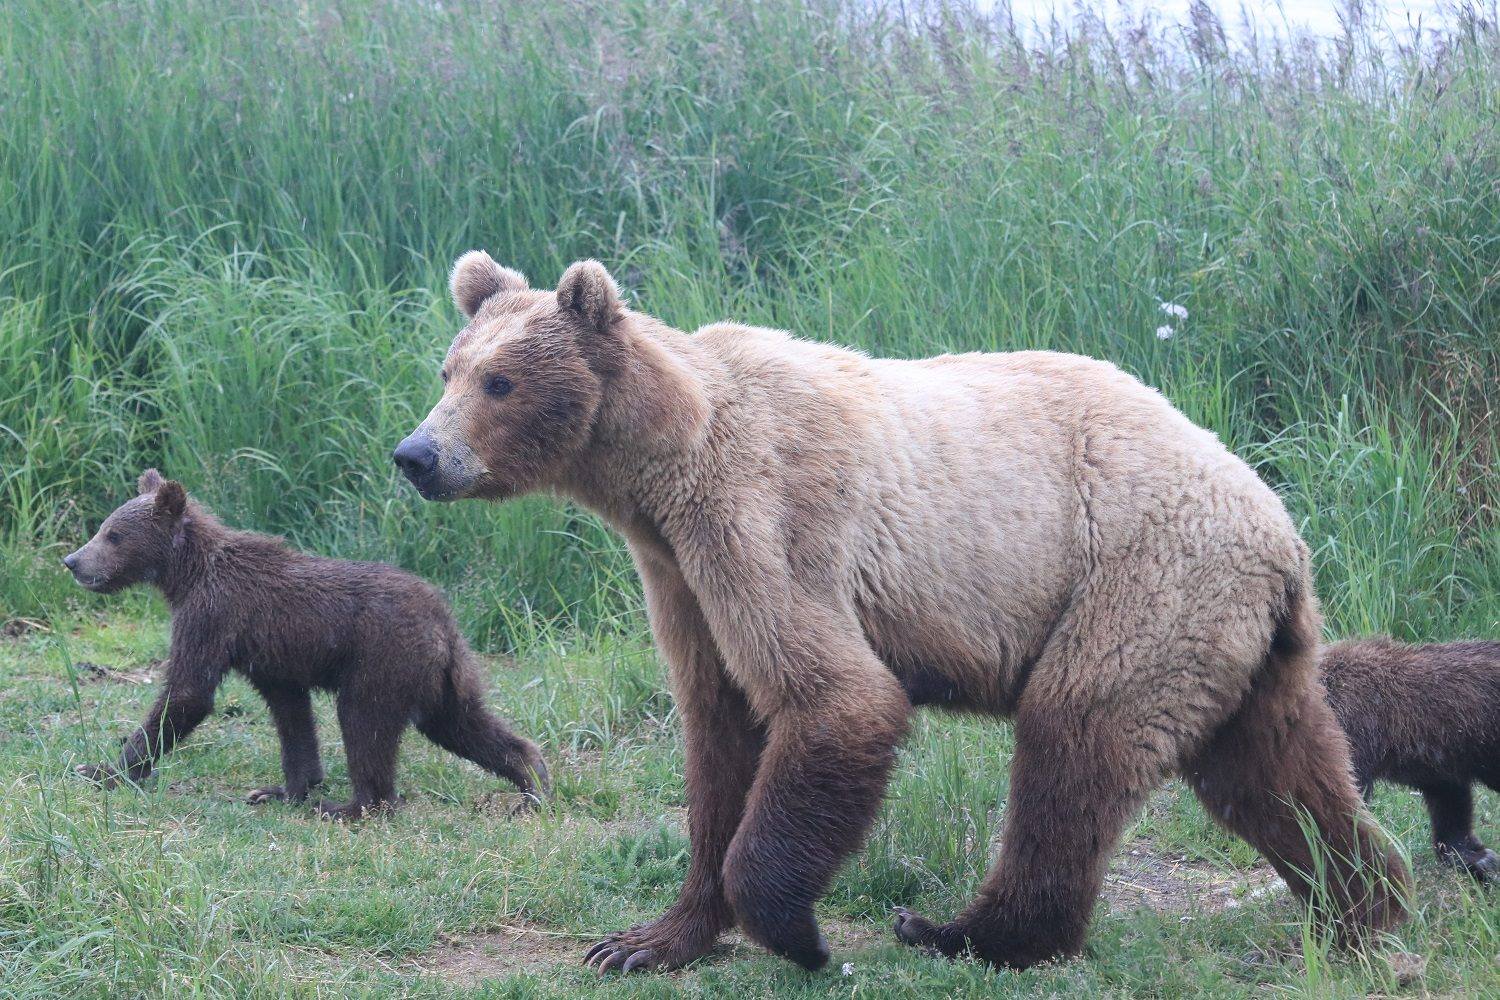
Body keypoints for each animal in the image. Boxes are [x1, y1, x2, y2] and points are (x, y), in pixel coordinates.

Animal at [396, 254, 1404, 971]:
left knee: (1074, 741)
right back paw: (1365, 904)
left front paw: (798, 934)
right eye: (449, 369)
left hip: (1140, 583)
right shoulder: (678, 573)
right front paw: (646, 939)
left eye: (499, 383)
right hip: (1228, 634)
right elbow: (719, 730)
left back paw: (963, 931)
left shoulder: (763, 518)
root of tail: (1278, 526)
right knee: (1275, 771)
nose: (416, 454)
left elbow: (836, 697)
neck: (662, 462)